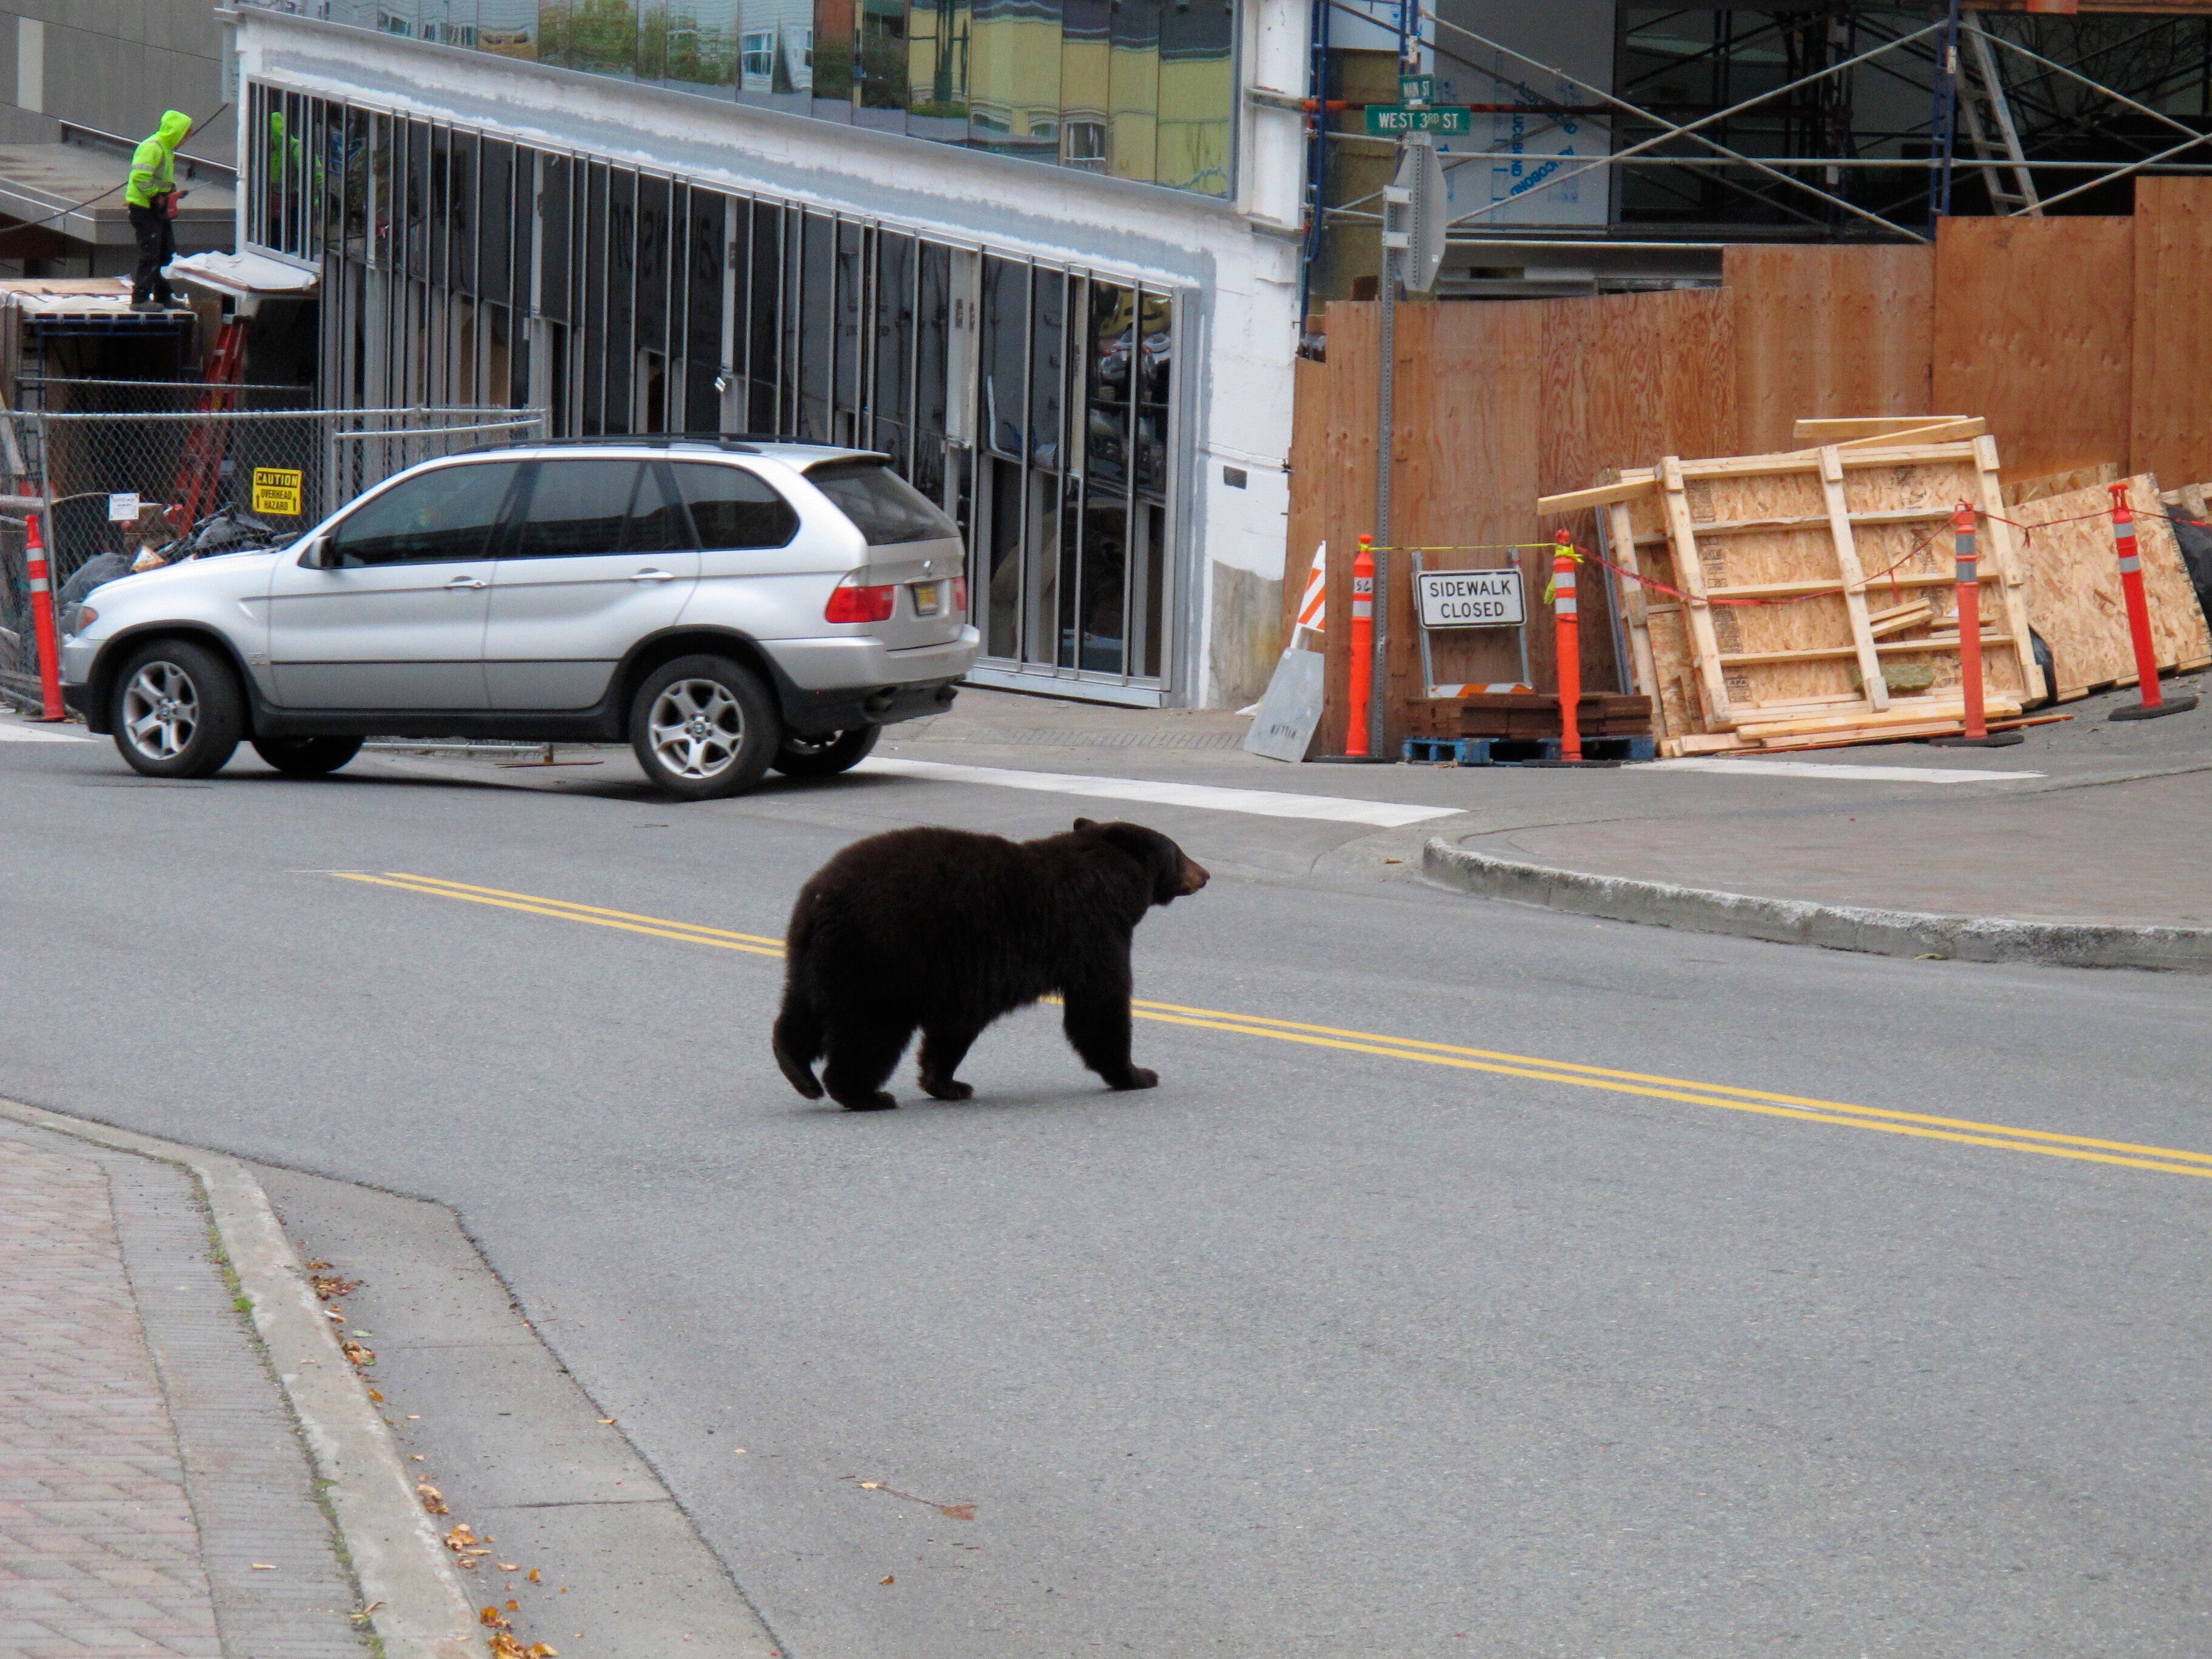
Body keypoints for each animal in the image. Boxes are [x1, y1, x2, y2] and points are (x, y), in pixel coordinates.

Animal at [765, 823, 1212, 1110]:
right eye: (1178, 851)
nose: (1206, 874)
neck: (1109, 875)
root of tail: (817, 899)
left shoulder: (966, 972)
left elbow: (954, 1027)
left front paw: (947, 1084)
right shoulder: (1093, 933)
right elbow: (1099, 1007)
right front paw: (1137, 1074)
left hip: (816, 960)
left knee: (802, 1011)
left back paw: (797, 1069)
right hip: (882, 958)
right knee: (869, 1032)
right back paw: (864, 1095)